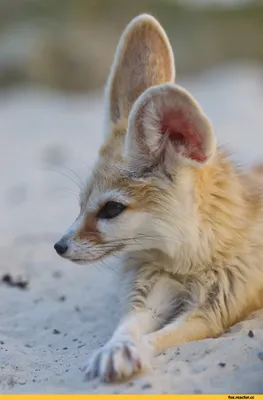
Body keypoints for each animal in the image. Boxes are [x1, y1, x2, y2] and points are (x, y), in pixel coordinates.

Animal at [54, 14, 263, 382]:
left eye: (111, 209)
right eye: (80, 203)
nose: (59, 246)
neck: (186, 263)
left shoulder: (211, 312)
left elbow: (157, 338)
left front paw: (130, 352)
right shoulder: (149, 292)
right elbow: (127, 327)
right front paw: (117, 348)